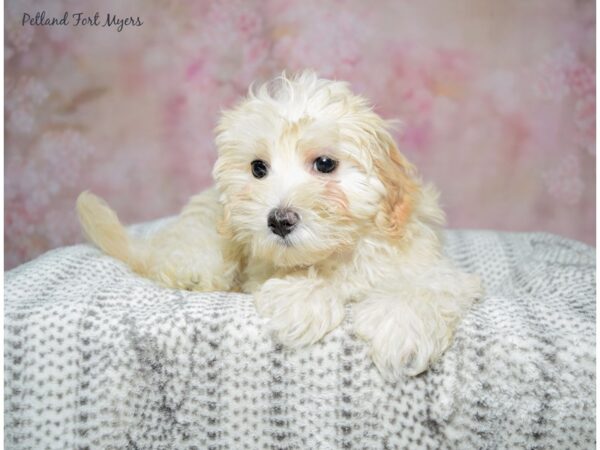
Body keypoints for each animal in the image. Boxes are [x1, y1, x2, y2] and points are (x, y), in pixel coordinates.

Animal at [78, 71, 482, 380]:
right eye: (258, 168)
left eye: (325, 163)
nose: (279, 220)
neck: (342, 250)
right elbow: (300, 278)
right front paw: (302, 302)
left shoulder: (428, 263)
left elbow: (424, 287)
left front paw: (401, 330)